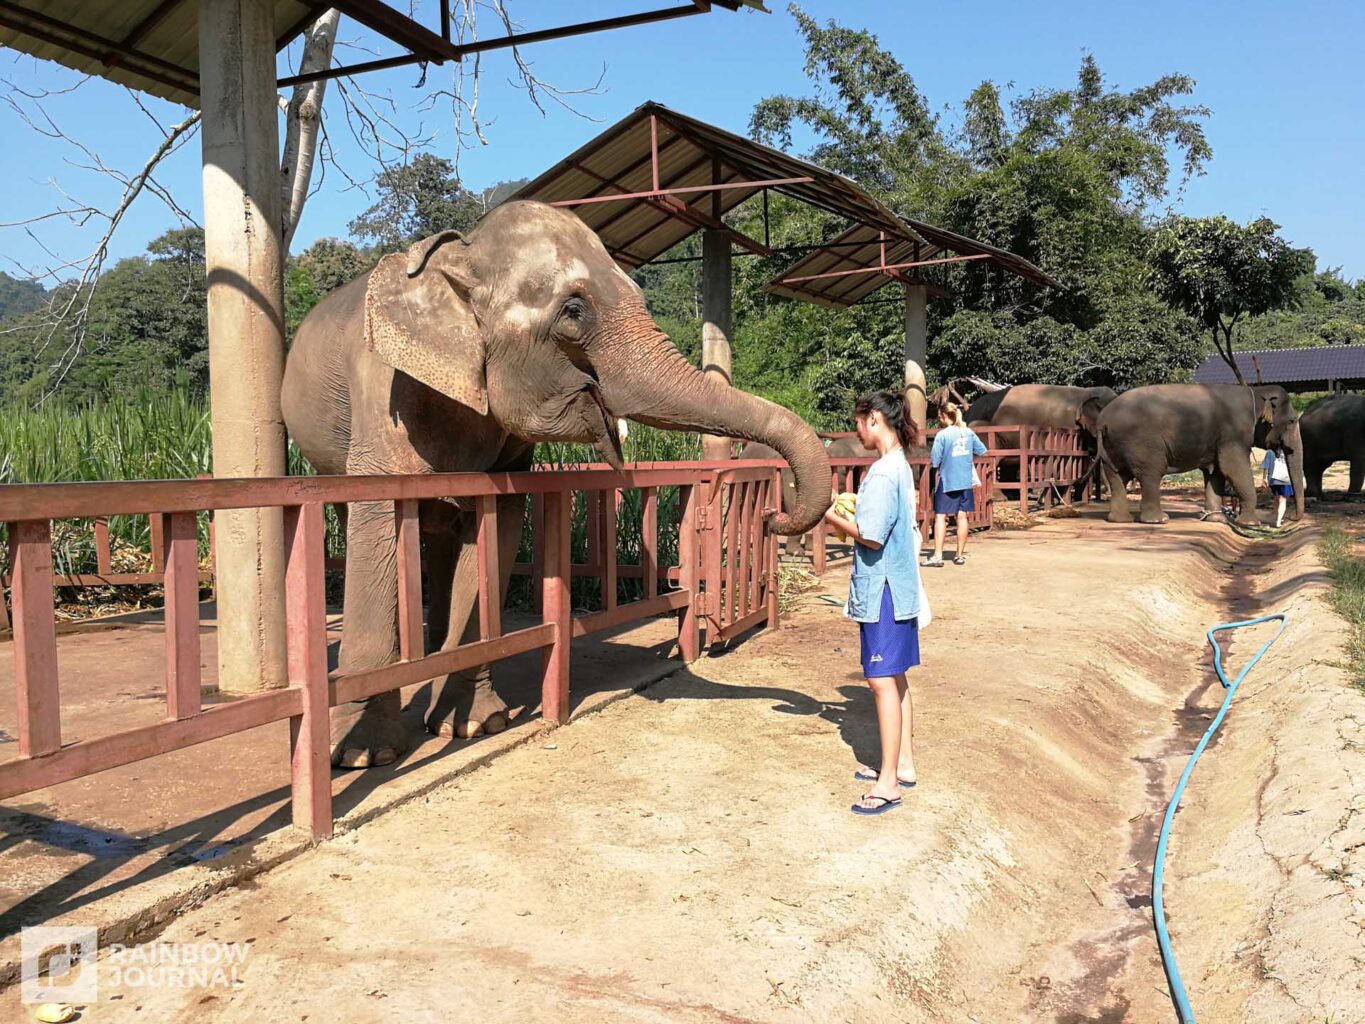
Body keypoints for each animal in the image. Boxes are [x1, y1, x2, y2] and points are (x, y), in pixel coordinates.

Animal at [281, 200, 830, 768]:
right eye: (573, 311)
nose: (773, 515)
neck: (463, 253)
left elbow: (495, 524)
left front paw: (476, 725)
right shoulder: (382, 393)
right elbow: (379, 517)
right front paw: (364, 755)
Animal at [1093, 383, 1306, 526]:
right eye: (1292, 421)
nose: (1292, 518)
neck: (1256, 390)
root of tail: (1103, 420)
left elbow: (1216, 473)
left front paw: (1216, 519)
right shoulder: (1233, 432)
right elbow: (1233, 468)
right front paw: (1250, 524)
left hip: (1112, 447)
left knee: (1117, 476)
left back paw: (1121, 520)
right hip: (1142, 443)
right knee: (1151, 473)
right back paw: (1159, 520)